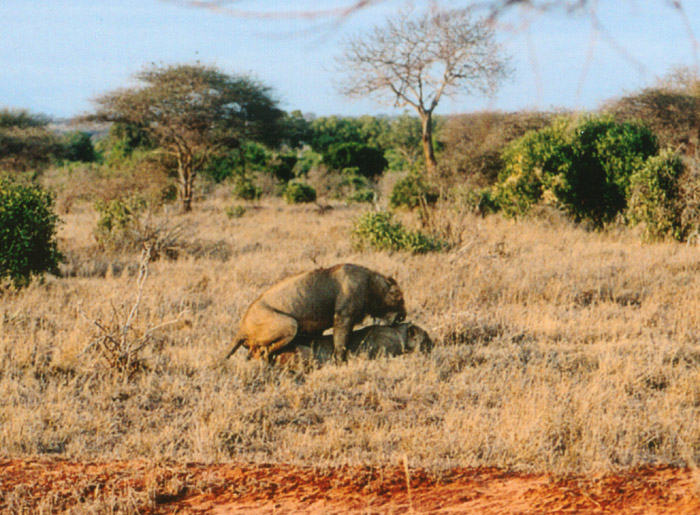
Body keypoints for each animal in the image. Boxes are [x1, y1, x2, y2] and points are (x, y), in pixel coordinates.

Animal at [225, 264, 406, 362]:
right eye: (399, 297)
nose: (402, 316)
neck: (371, 284)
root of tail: (241, 327)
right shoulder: (343, 318)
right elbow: (340, 345)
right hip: (290, 324)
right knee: (261, 351)